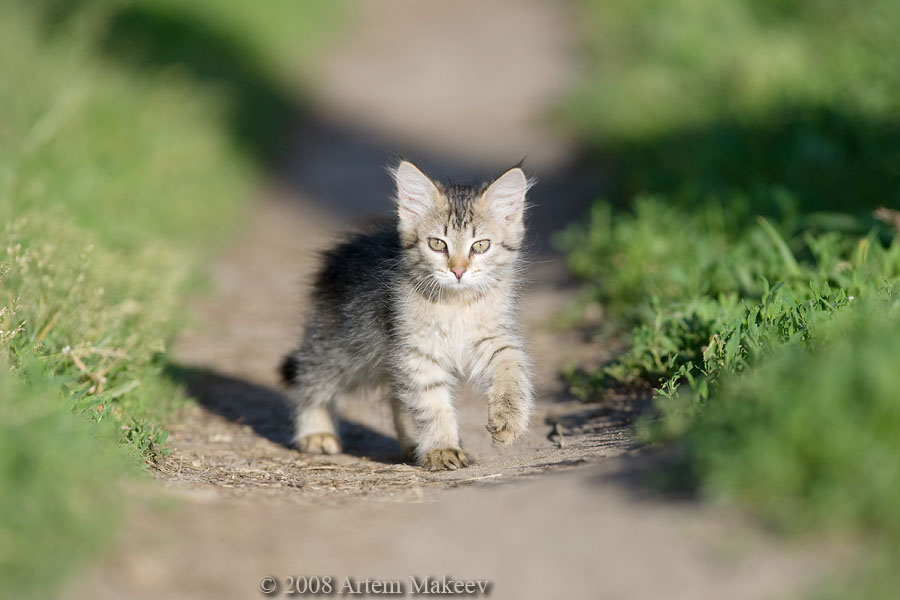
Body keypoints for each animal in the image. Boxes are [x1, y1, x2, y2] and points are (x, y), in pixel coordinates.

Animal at [282, 162, 536, 472]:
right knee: (310, 379)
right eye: (438, 244)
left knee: (397, 397)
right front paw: (442, 448)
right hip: (342, 348)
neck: (456, 304)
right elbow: (432, 404)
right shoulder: (417, 350)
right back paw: (316, 432)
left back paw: (413, 444)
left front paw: (509, 417)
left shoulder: (491, 340)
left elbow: (512, 368)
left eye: (480, 246)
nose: (458, 271)